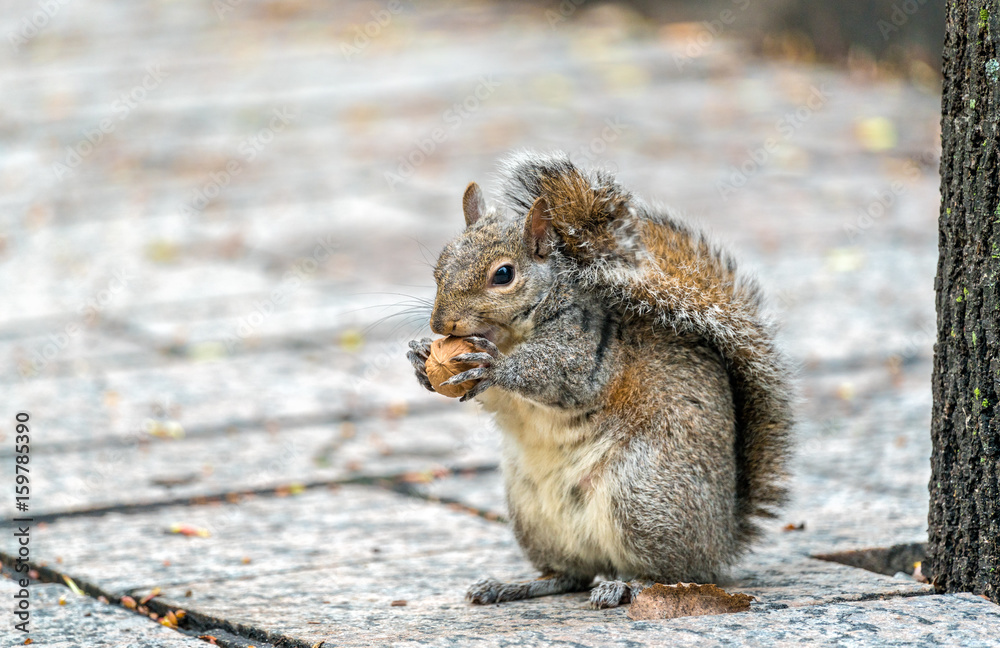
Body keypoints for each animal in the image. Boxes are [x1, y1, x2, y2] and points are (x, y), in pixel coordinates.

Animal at [402, 152, 792, 608]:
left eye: (503, 275)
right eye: (440, 265)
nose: (439, 324)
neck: (512, 332)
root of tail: (723, 540)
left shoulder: (585, 347)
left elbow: (557, 375)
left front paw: (495, 366)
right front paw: (420, 357)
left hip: (643, 498)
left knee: (673, 573)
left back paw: (626, 585)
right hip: (533, 515)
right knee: (570, 575)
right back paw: (514, 585)